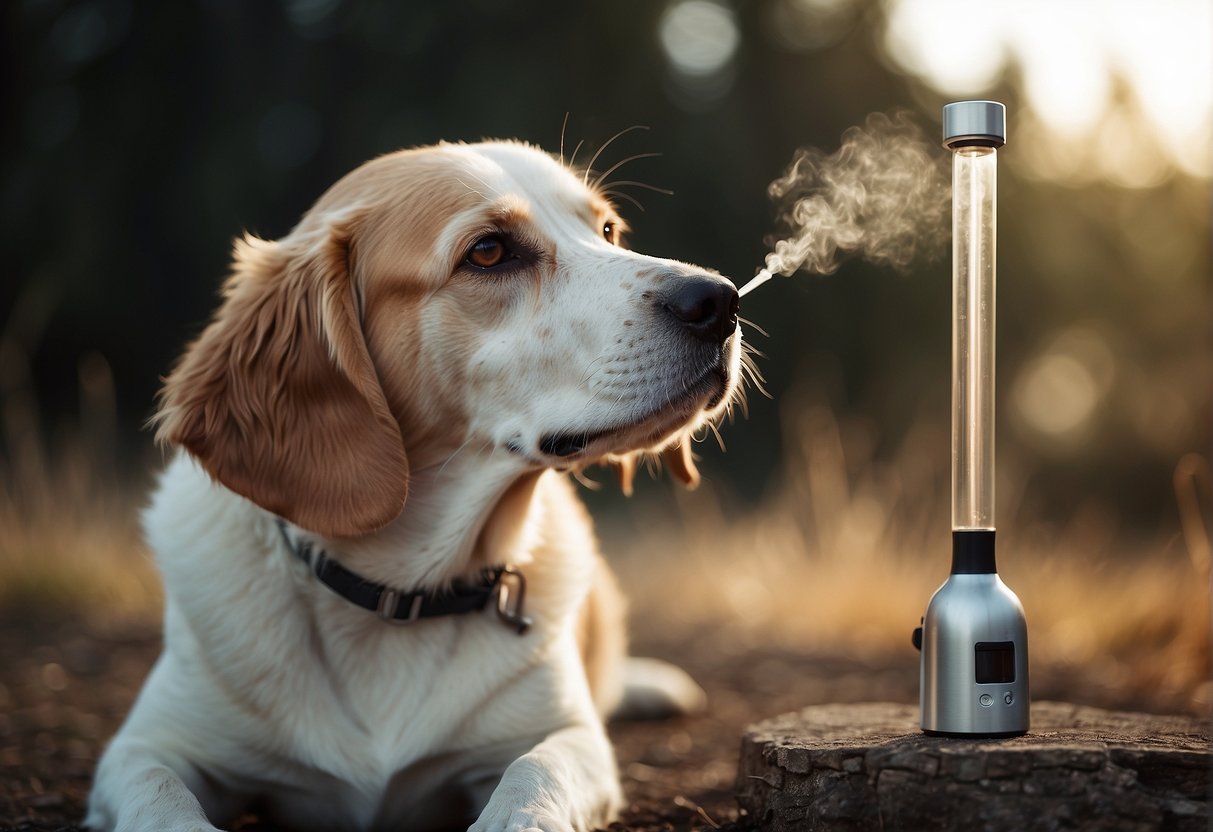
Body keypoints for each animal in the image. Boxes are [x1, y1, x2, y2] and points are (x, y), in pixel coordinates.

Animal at [87, 141, 737, 832]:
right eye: (488, 251)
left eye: (608, 231)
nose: (720, 300)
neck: (397, 595)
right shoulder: (146, 747)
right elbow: (162, 802)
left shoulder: (568, 739)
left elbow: (533, 777)